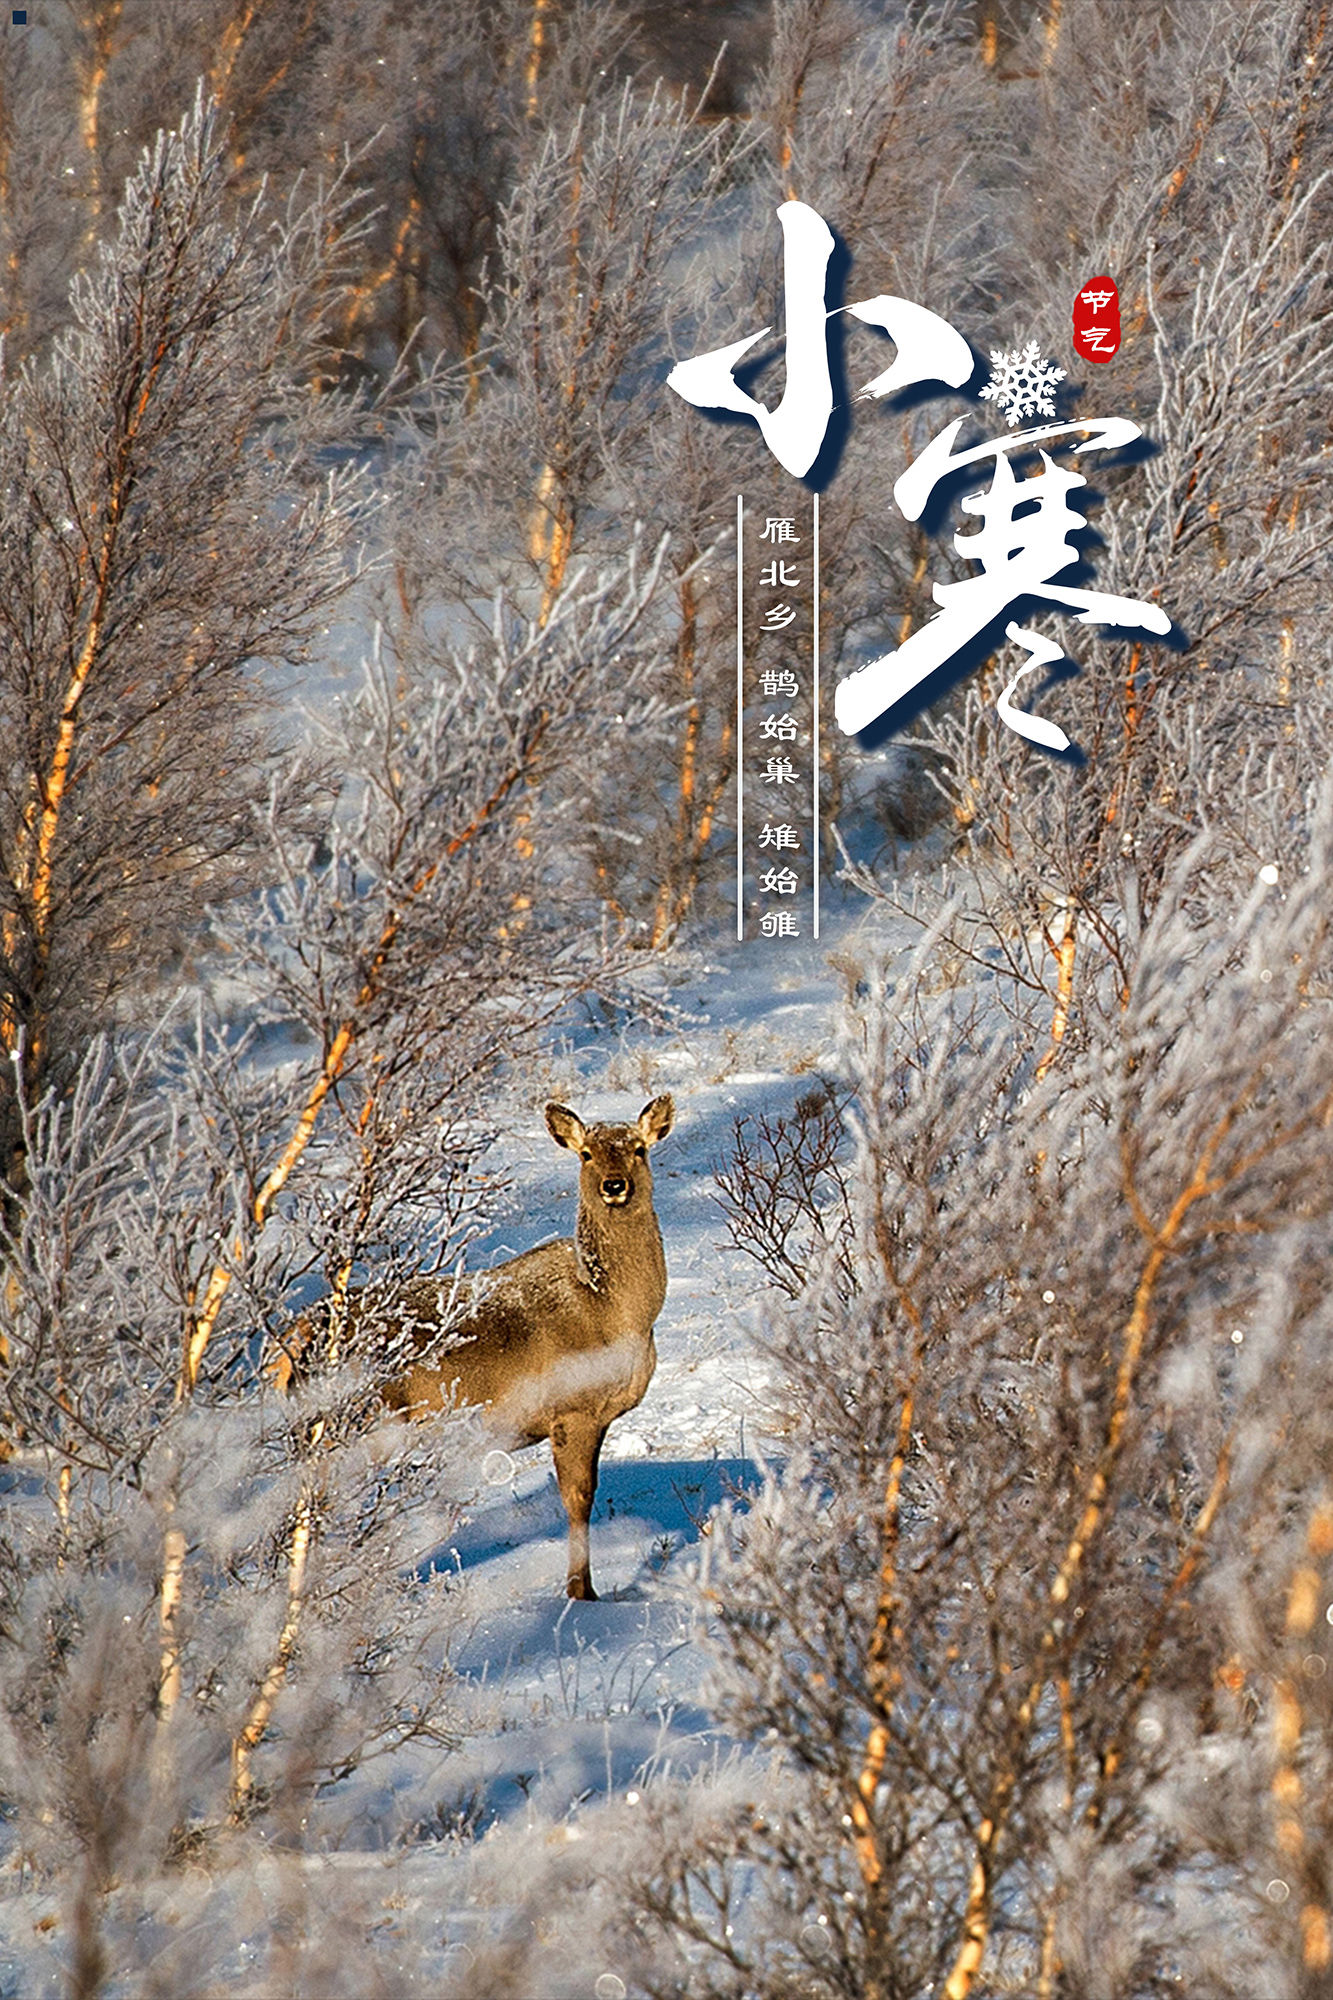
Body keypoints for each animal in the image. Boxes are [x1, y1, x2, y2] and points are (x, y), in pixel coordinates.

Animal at [282, 1104, 676, 1600]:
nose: (614, 1185)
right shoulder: (571, 1410)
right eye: (586, 1154)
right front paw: (581, 1594)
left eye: (639, 1149)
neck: (615, 1311)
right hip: (354, 1423)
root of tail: (298, 1335)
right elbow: (577, 1501)